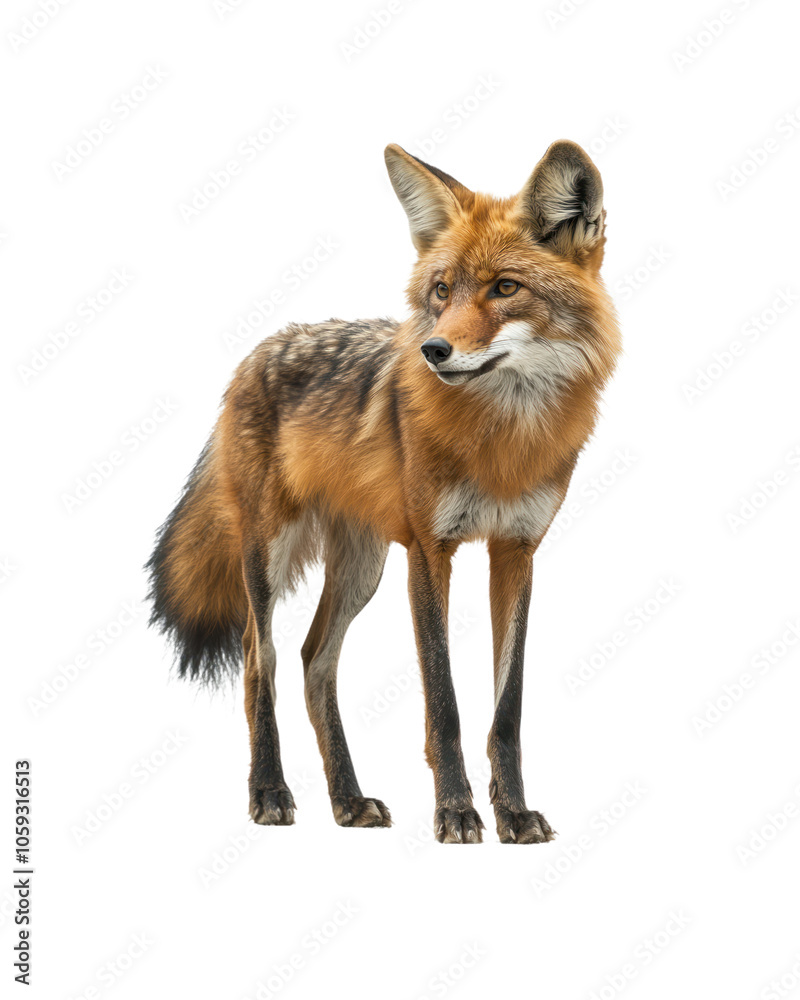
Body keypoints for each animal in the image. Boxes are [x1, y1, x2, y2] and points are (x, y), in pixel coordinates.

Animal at [147, 139, 621, 844]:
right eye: (442, 291)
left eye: (505, 288)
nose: (433, 349)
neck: (503, 441)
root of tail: (257, 351)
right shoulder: (429, 550)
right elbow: (445, 704)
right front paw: (456, 812)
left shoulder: (515, 551)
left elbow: (505, 712)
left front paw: (512, 814)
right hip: (270, 553)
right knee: (262, 660)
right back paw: (270, 792)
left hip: (361, 567)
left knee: (316, 661)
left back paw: (348, 798)